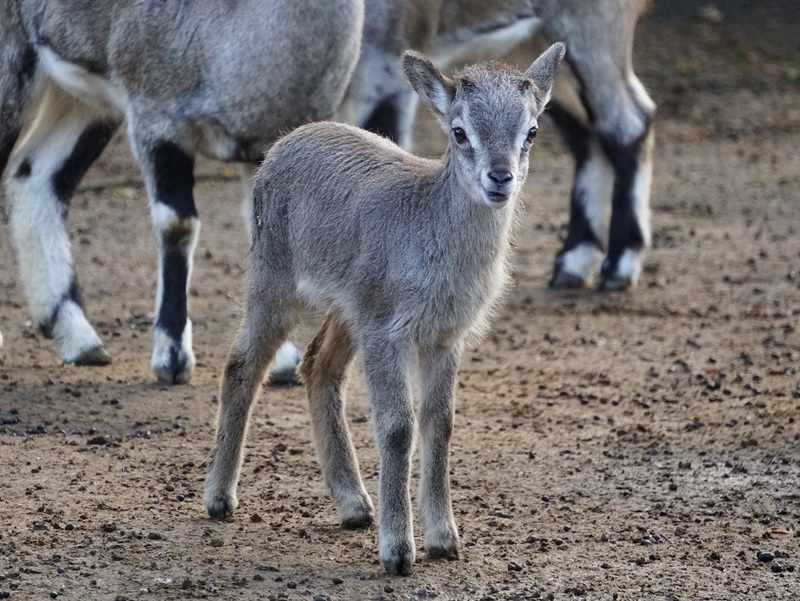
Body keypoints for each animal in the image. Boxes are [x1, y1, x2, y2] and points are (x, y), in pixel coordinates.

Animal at [203, 44, 564, 576]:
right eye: (459, 131)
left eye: (532, 130)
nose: (500, 178)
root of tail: (285, 142)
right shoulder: (386, 331)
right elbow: (396, 427)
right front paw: (398, 550)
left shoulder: (443, 336)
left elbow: (441, 423)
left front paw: (445, 539)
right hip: (275, 278)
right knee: (242, 364)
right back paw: (219, 498)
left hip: (348, 305)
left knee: (318, 365)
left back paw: (354, 504)